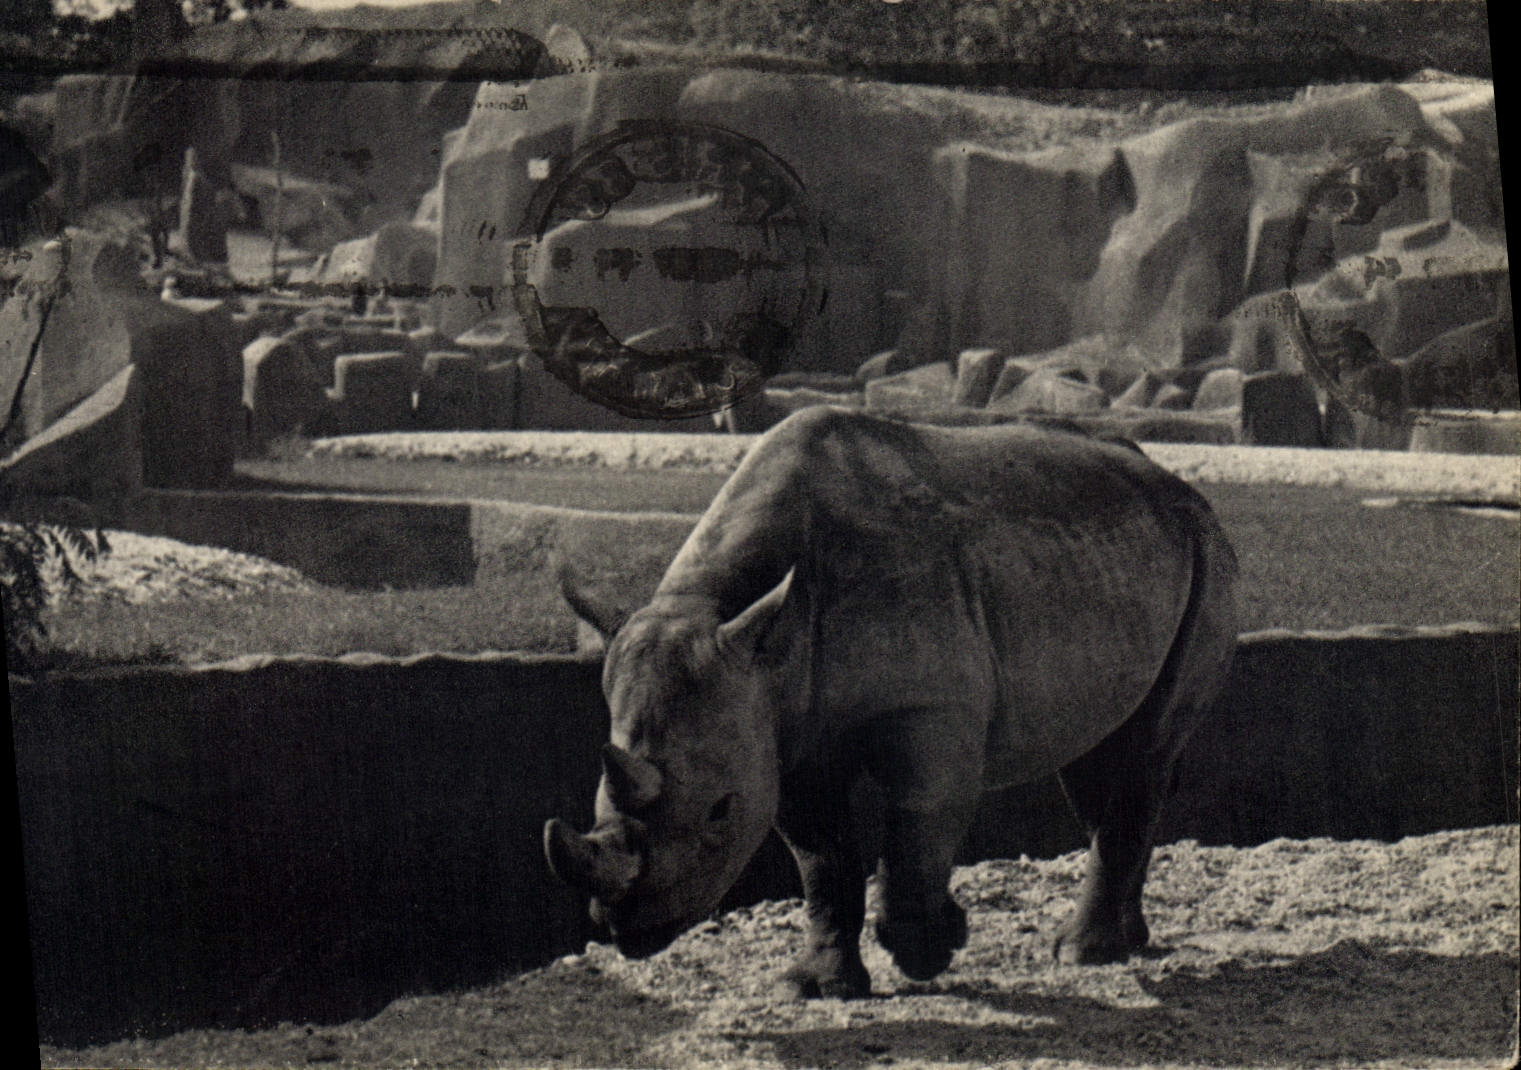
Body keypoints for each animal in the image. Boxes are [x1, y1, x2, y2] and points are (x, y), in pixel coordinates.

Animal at [544, 407, 1237, 998]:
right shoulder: (777, 725)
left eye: (720, 813)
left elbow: (918, 825)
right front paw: (817, 986)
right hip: (1115, 561)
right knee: (1099, 757)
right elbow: (820, 860)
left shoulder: (929, 707)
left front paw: (931, 950)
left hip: (1206, 552)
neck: (729, 616)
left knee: (1144, 750)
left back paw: (1083, 953)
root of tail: (1174, 481)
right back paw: (1126, 941)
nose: (628, 927)